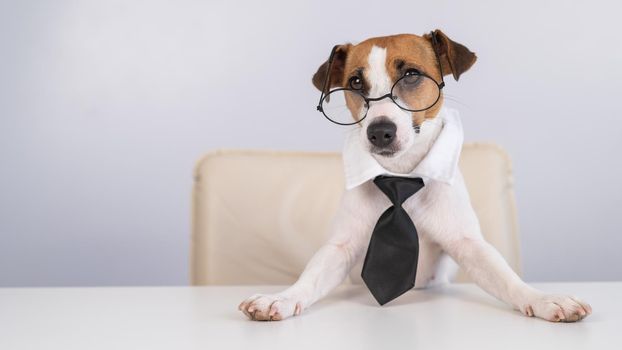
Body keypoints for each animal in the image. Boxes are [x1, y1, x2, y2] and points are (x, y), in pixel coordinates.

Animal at [238, 30, 596, 322]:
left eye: (411, 75)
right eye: (356, 83)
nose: (379, 132)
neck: (401, 173)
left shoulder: (468, 244)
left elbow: (505, 277)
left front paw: (544, 299)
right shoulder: (341, 247)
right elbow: (311, 276)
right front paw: (281, 298)